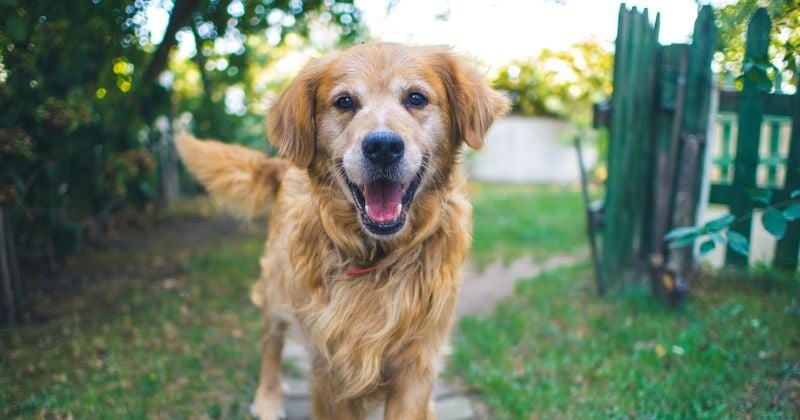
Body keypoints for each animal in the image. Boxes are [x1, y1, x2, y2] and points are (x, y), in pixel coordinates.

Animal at [178, 41, 510, 418]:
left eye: (416, 98)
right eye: (344, 102)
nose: (383, 146)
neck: (378, 256)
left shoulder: (417, 361)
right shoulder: (330, 365)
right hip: (277, 285)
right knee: (271, 340)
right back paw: (268, 397)